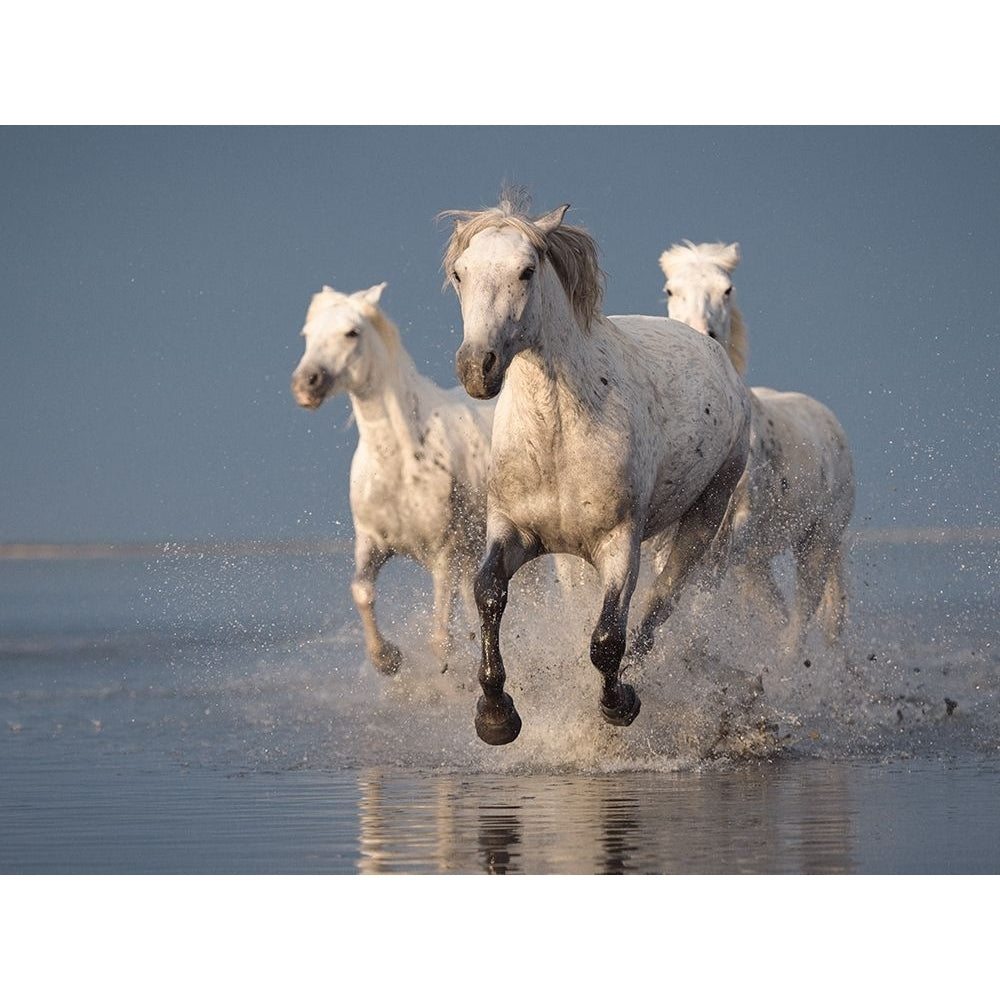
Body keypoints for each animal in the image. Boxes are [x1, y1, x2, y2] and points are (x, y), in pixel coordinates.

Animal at [288, 286, 494, 676]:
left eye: (351, 332)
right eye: (307, 334)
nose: (306, 384)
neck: (399, 463)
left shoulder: (445, 553)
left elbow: (441, 640)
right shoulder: (372, 541)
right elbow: (361, 591)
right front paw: (387, 658)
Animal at [444, 191, 752, 748]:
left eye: (526, 270)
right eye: (460, 272)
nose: (478, 366)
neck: (556, 437)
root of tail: (712, 351)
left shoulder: (619, 543)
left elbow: (607, 637)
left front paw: (619, 705)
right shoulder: (513, 532)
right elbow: (488, 594)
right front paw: (496, 716)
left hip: (705, 514)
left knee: (661, 603)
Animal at [660, 238, 856, 652]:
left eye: (727, 289)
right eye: (671, 289)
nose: (702, 336)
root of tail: (830, 424)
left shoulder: (735, 529)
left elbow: (699, 593)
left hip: (818, 544)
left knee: (801, 624)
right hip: (758, 565)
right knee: (781, 616)